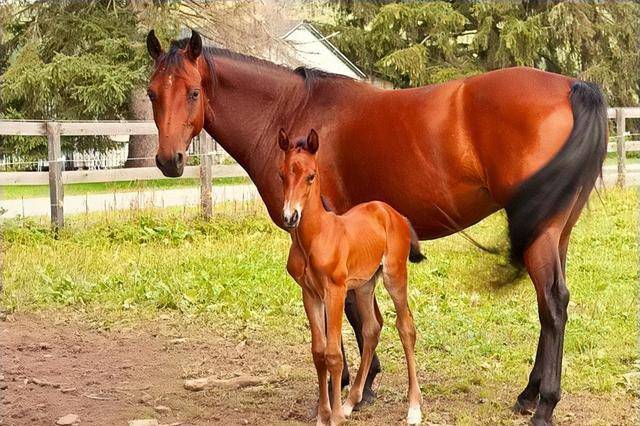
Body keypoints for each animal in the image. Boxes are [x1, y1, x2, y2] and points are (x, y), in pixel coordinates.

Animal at [280, 127, 424, 426]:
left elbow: (333, 354)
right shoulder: (310, 294)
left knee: (406, 327)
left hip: (394, 276)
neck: (315, 236)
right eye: (281, 174)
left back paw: (414, 407)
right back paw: (351, 401)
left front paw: (334, 417)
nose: (290, 217)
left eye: (311, 175)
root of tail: (393, 214)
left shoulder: (335, 291)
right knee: (371, 328)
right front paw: (324, 414)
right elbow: (318, 352)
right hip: (365, 285)